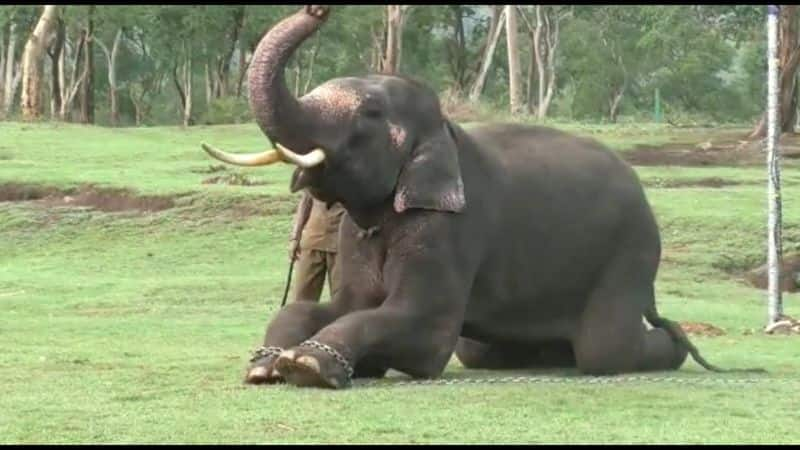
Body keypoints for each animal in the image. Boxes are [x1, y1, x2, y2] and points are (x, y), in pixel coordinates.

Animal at [202, 5, 764, 388]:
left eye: (370, 113)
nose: (319, 8)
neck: (444, 131)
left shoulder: (450, 229)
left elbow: (421, 325)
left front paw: (308, 365)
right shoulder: (356, 233)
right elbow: (336, 306)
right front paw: (265, 366)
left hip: (630, 252)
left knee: (604, 349)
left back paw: (671, 345)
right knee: (484, 350)